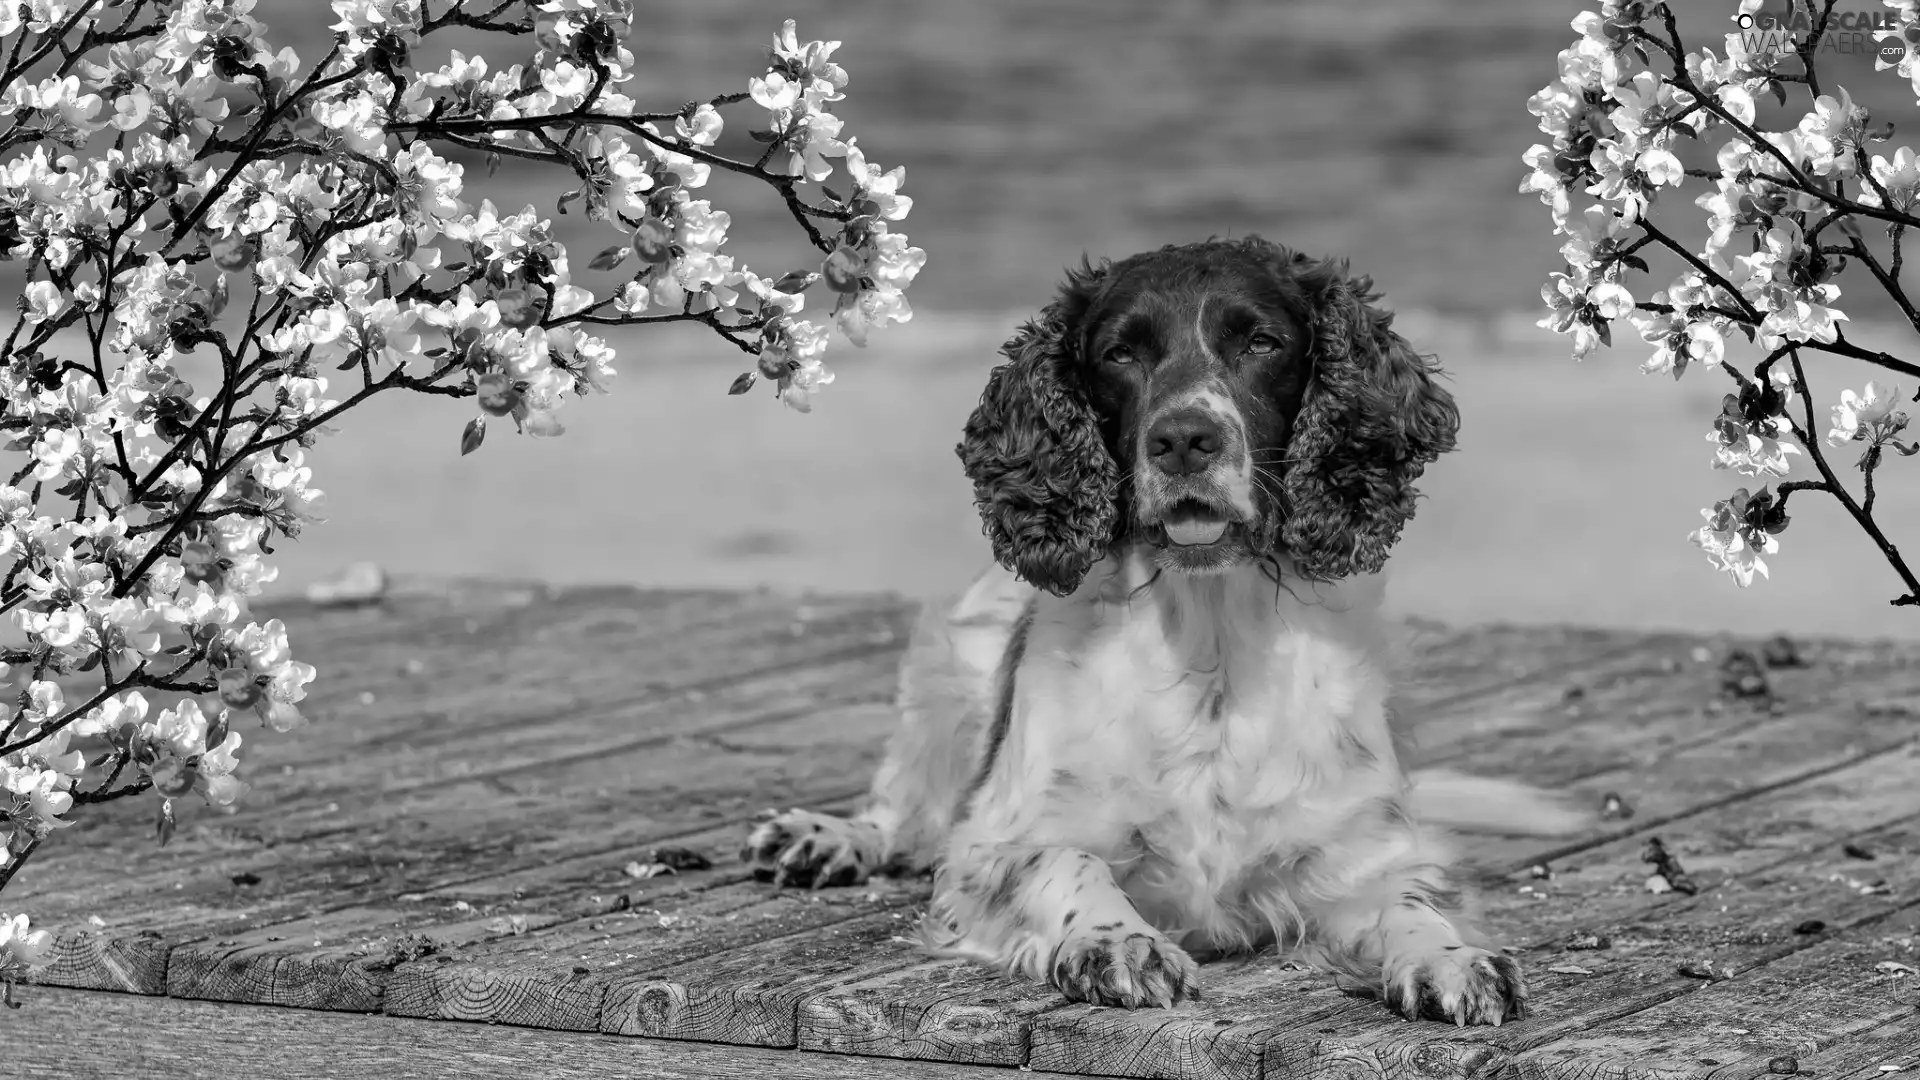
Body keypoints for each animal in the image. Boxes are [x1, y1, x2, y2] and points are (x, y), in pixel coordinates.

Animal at [733, 237, 1589, 1022]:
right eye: (1119, 353)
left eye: (1261, 342)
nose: (1182, 439)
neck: (1208, 640)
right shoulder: (991, 848)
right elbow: (1067, 861)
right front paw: (1119, 942)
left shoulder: (1362, 849)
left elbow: (1413, 899)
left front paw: (1452, 957)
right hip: (950, 664)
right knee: (906, 808)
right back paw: (827, 837)